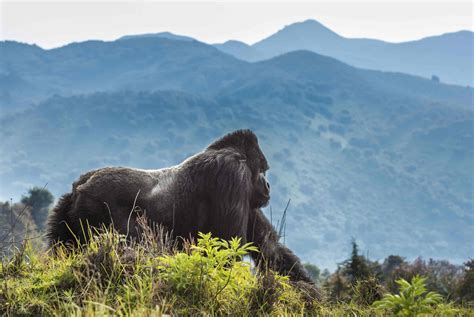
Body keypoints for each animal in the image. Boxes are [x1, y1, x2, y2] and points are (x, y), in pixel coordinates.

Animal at [48, 128, 314, 282]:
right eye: (263, 170)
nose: (268, 185)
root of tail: (79, 185)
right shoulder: (232, 174)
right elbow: (227, 247)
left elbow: (270, 248)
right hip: (94, 205)